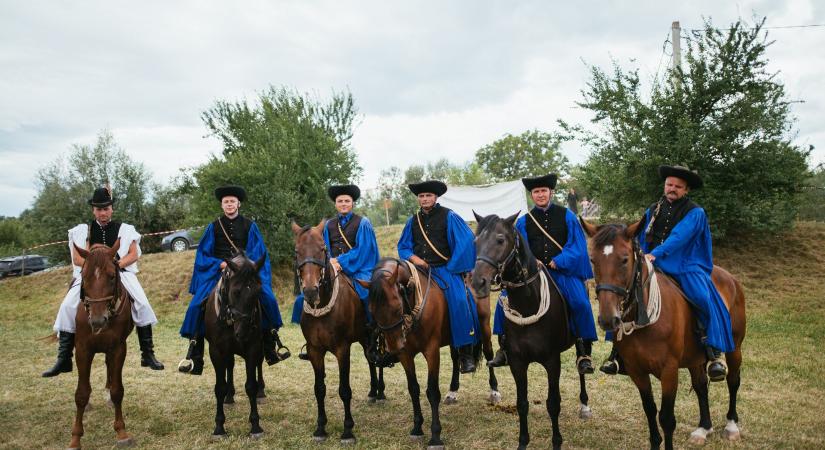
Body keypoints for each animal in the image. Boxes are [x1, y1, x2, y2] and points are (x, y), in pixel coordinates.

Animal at [69, 243, 135, 450]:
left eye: (112, 276)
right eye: (84, 276)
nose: (98, 321)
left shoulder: (118, 348)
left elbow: (117, 390)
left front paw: (121, 433)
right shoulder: (83, 349)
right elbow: (81, 393)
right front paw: (75, 438)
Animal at [203, 253, 268, 440]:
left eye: (258, 292)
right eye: (235, 292)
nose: (243, 333)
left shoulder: (253, 347)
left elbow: (251, 386)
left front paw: (255, 426)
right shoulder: (216, 351)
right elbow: (219, 387)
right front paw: (219, 426)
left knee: (258, 365)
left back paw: (261, 391)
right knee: (230, 366)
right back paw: (229, 396)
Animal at [290, 220, 386, 444]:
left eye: (322, 249)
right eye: (297, 251)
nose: (310, 291)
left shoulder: (342, 350)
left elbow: (344, 390)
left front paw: (348, 430)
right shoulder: (315, 351)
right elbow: (319, 389)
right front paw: (320, 428)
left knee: (376, 360)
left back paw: (380, 392)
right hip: (363, 338)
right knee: (369, 359)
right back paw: (373, 391)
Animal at [466, 212, 588, 450]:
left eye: (500, 240)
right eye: (476, 242)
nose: (477, 282)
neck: (529, 302)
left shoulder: (552, 361)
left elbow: (553, 403)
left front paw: (556, 442)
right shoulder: (517, 362)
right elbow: (522, 403)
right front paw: (523, 442)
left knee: (582, 367)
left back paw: (584, 404)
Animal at [580, 221, 748, 450]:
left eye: (624, 260)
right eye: (593, 260)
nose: (608, 319)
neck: (644, 320)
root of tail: (731, 279)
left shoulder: (669, 371)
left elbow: (667, 418)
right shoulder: (637, 371)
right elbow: (650, 409)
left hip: (735, 348)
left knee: (733, 380)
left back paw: (731, 426)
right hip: (695, 358)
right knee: (701, 386)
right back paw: (703, 428)